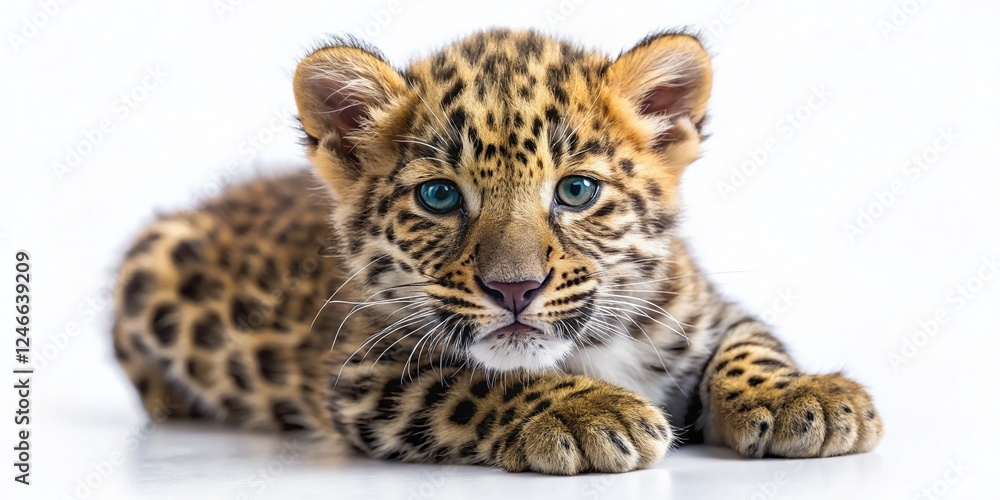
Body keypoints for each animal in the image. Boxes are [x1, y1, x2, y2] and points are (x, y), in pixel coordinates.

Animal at [110, 29, 883, 475]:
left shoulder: (702, 307)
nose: (515, 290)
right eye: (439, 197)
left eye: (576, 190)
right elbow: (480, 382)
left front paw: (804, 396)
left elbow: (752, 346)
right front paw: (586, 414)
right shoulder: (368, 375)